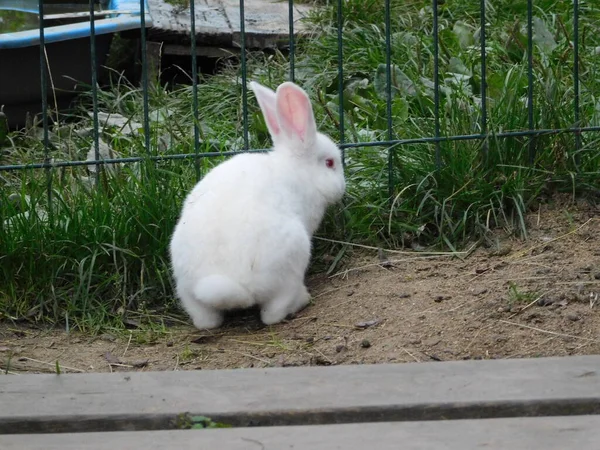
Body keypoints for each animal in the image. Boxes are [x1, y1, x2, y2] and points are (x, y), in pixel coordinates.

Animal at [169, 81, 346, 328]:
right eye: (330, 163)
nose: (342, 187)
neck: (297, 168)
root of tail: (237, 287)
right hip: (293, 259)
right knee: (273, 313)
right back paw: (302, 299)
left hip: (188, 292)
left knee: (206, 321)